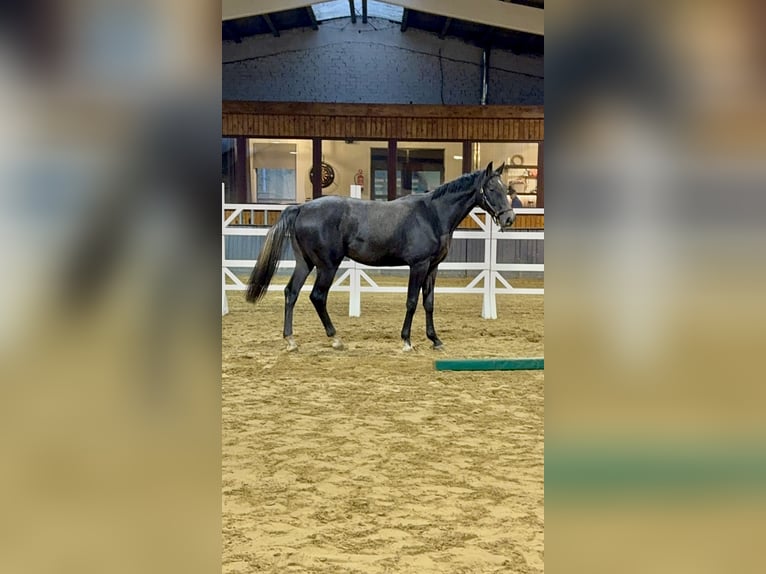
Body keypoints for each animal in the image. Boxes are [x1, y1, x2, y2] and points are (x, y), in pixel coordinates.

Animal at [245, 161, 515, 352]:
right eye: (492, 189)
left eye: (507, 189)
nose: (509, 218)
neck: (432, 214)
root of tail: (301, 208)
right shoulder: (418, 266)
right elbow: (412, 302)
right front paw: (406, 341)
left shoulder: (433, 267)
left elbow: (428, 303)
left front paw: (435, 340)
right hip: (327, 266)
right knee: (317, 296)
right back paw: (335, 339)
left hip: (306, 263)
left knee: (291, 293)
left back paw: (291, 340)